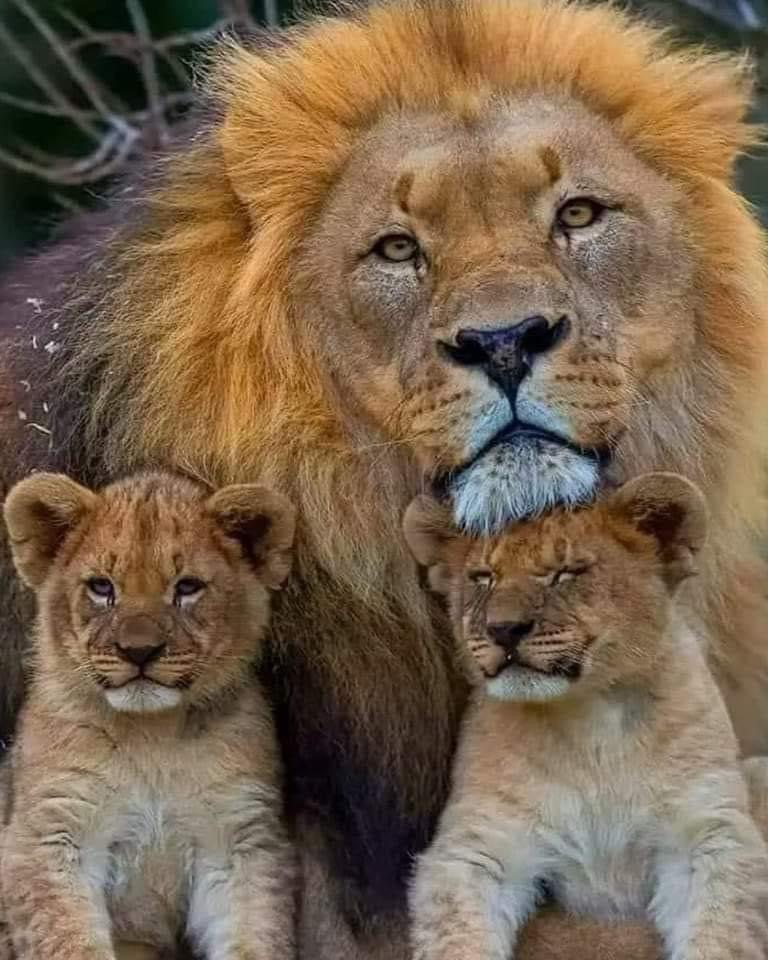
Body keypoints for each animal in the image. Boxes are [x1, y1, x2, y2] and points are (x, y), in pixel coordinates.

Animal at [1, 470, 296, 960]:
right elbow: (70, 941)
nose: (139, 651)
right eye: (102, 587)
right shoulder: (50, 836)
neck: (152, 736)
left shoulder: (237, 843)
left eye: (187, 587)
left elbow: (253, 936)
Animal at [404, 475, 768, 960]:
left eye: (565, 573)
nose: (503, 629)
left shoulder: (707, 831)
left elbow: (720, 933)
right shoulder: (480, 844)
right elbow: (457, 933)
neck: (590, 719)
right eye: (482, 578)